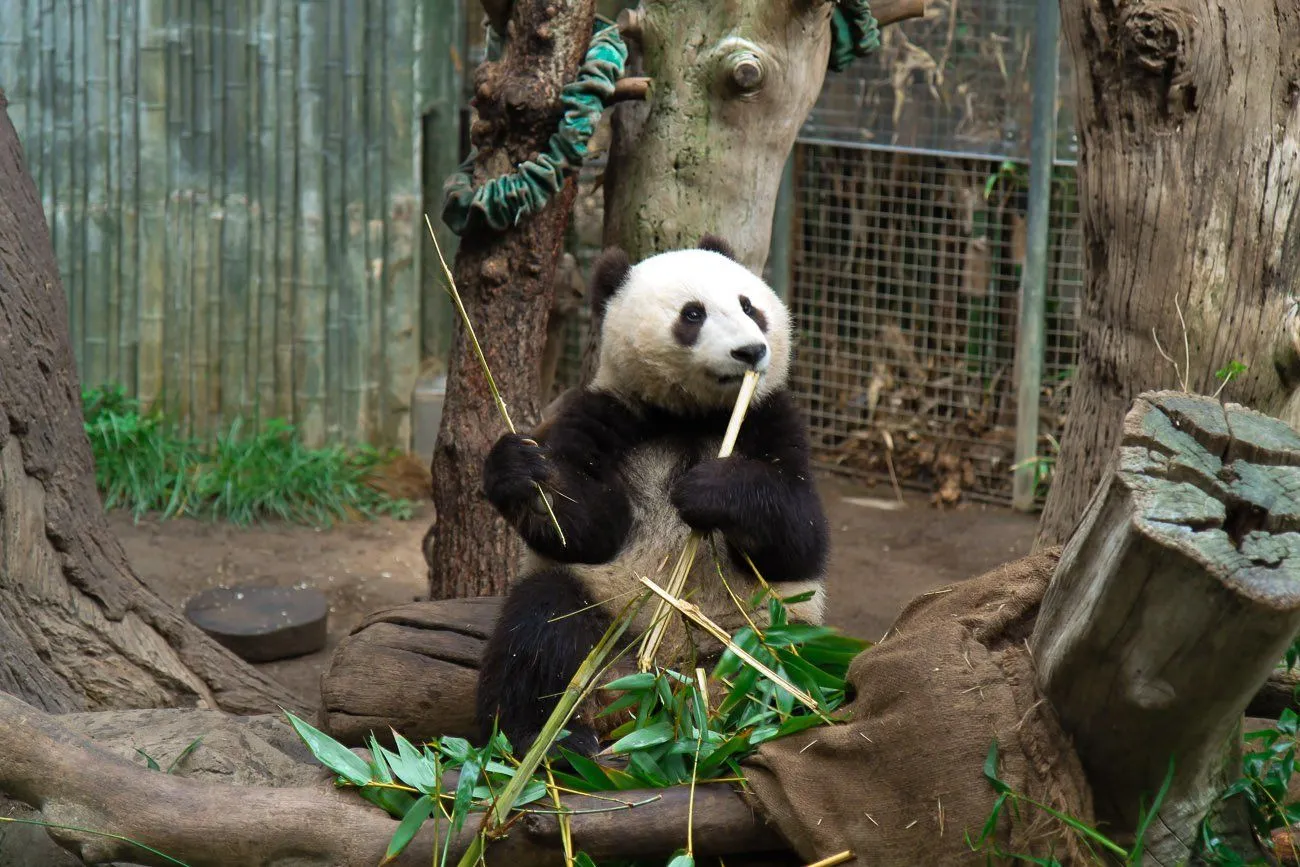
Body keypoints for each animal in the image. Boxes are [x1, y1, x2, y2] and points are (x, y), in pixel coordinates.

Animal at [476, 234, 830, 758]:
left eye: (749, 306)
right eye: (693, 314)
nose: (751, 351)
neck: (693, 415)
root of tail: (660, 693)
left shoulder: (771, 417)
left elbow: (800, 540)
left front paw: (710, 489)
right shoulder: (610, 413)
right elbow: (588, 531)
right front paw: (522, 470)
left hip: (765, 629)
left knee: (783, 665)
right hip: (606, 623)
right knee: (542, 624)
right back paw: (552, 741)